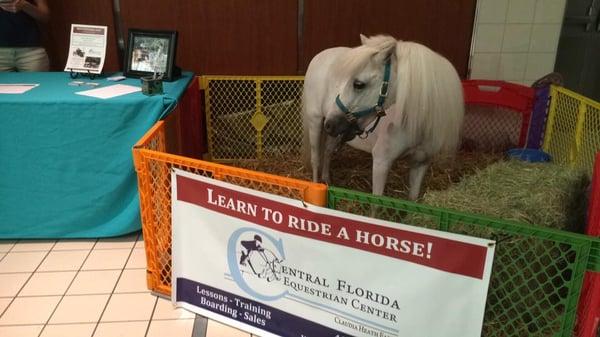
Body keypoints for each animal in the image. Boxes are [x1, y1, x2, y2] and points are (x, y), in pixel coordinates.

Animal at [304, 34, 464, 200]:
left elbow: (412, 199)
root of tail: (319, 56)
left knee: (328, 152)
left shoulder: (420, 163)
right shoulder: (382, 162)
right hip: (316, 122)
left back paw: (326, 180)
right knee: (316, 159)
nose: (330, 124)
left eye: (358, 84)